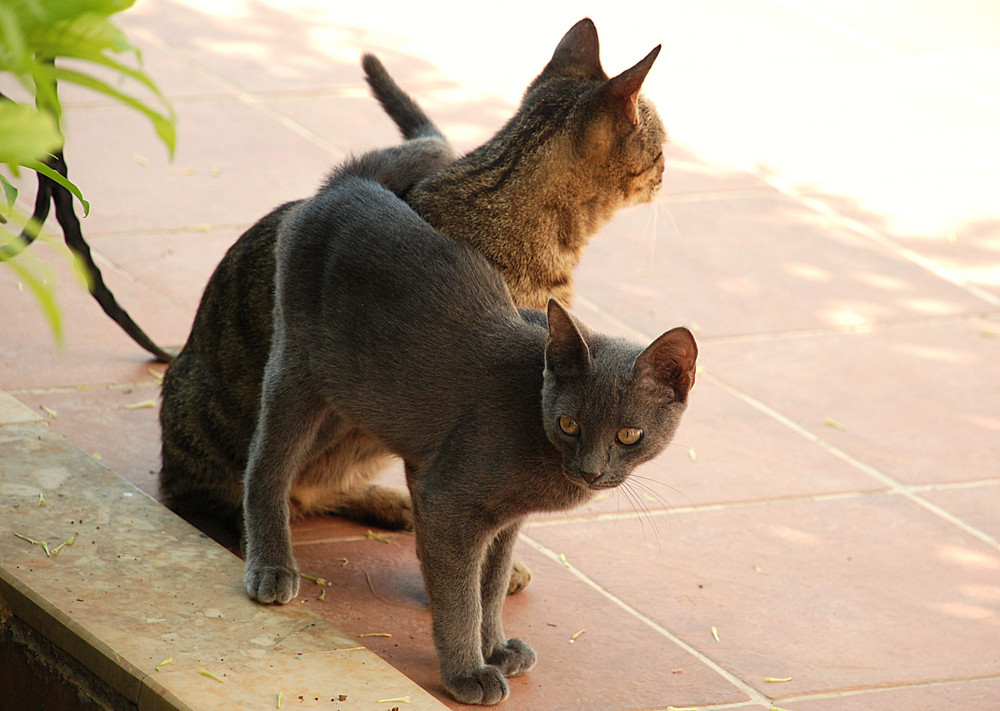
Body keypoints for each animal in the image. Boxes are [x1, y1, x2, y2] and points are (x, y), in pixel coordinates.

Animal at [241, 147, 696, 704]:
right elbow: (460, 594)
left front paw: (495, 647)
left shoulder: (504, 520)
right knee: (266, 462)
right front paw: (467, 673)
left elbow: (491, 584)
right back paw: (272, 567)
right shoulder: (447, 501)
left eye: (628, 435)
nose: (590, 471)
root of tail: (351, 183)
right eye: (569, 424)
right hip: (298, 369)